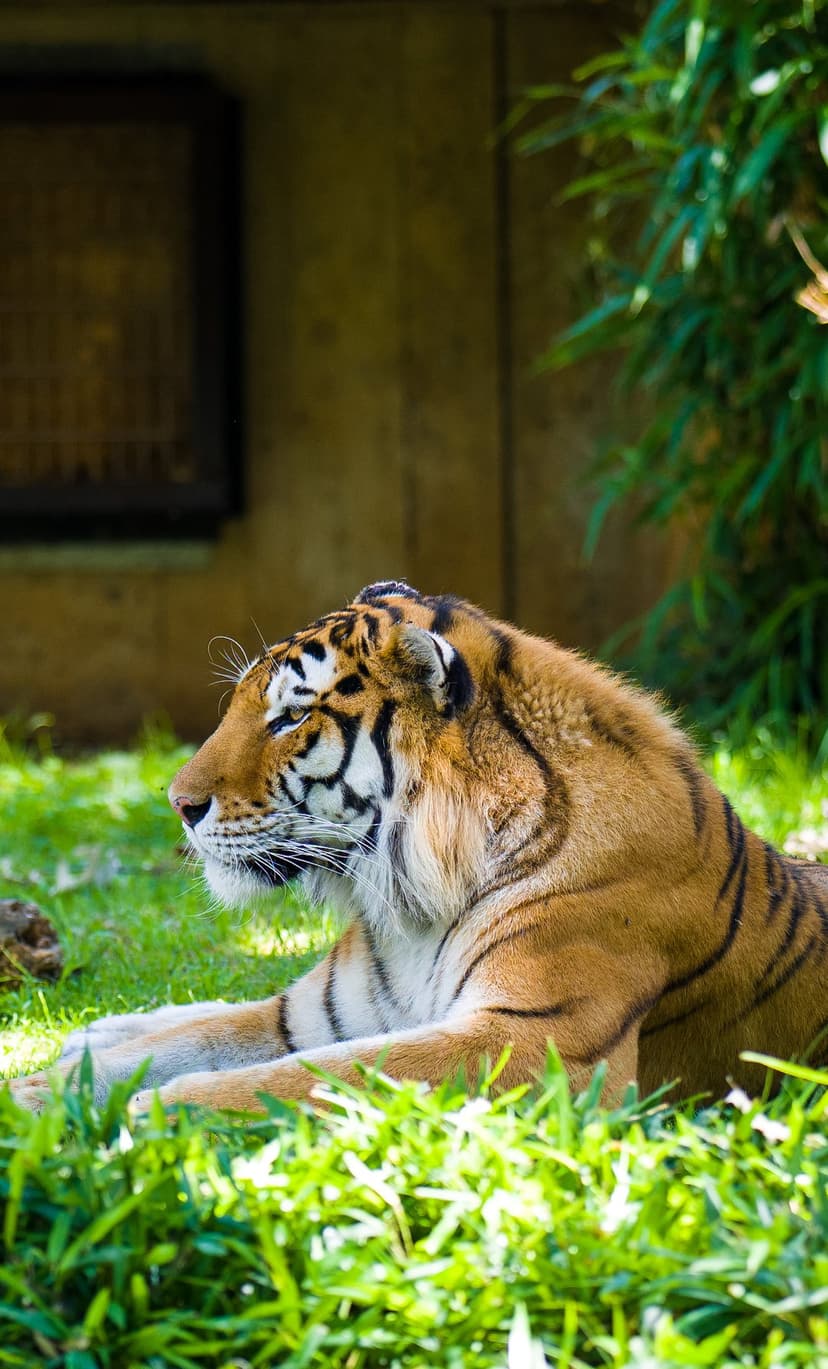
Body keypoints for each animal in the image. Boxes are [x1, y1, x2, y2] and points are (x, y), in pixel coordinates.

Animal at [9, 580, 828, 1113]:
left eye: (291, 717)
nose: (178, 804)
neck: (413, 903)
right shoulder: (322, 1018)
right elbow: (173, 1049)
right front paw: (36, 1095)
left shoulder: (537, 1041)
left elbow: (306, 1079)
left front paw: (149, 1118)